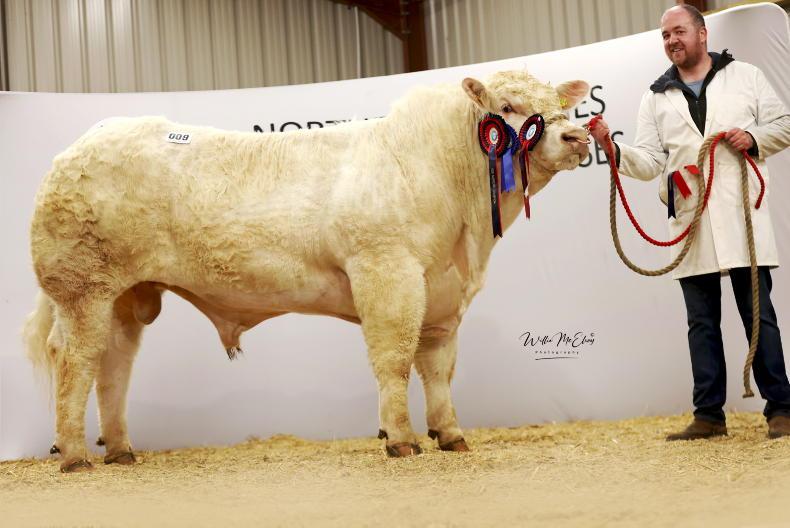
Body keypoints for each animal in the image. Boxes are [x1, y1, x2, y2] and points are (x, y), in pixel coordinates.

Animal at [24, 70, 591, 472]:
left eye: (563, 104)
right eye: (508, 108)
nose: (577, 137)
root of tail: (78, 147)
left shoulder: (442, 292)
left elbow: (437, 368)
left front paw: (450, 434)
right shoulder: (386, 271)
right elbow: (393, 359)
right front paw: (400, 440)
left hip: (124, 294)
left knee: (113, 365)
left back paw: (120, 449)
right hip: (83, 288)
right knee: (74, 360)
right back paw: (74, 455)